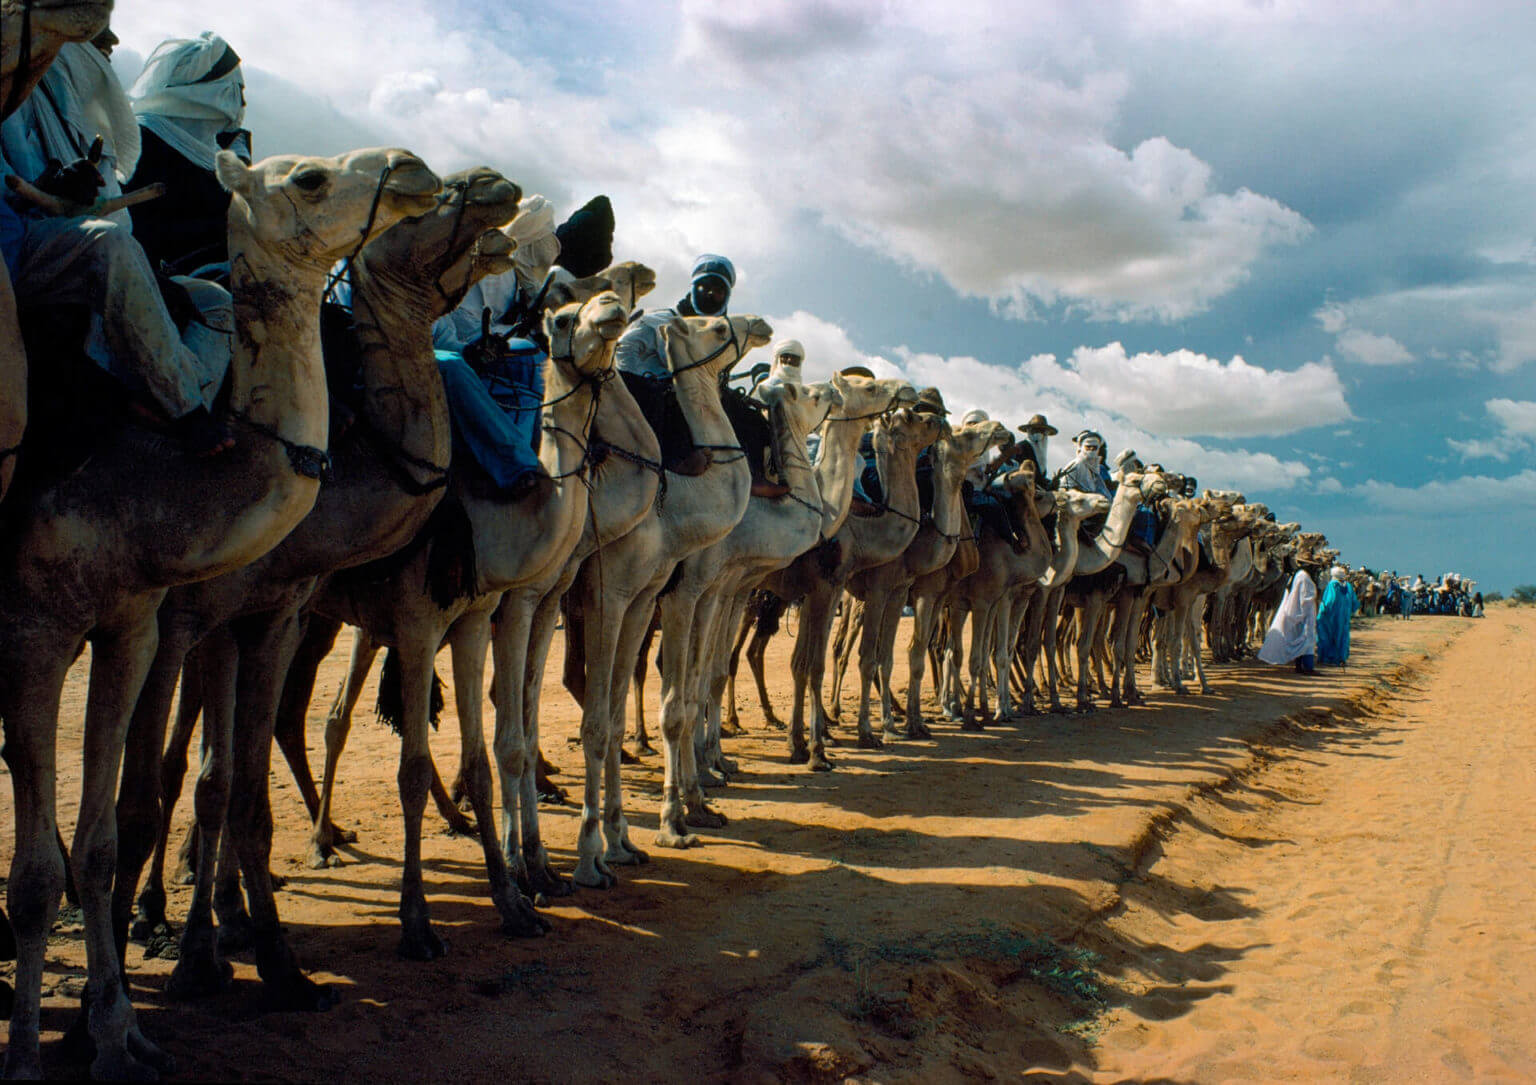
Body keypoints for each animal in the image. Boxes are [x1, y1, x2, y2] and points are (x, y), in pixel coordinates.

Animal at [1, 141, 445, 1075]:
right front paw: (40, 1048)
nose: (413, 167)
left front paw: (122, 1030)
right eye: (309, 177)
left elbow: (117, 834)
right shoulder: (45, 629)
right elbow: (58, 861)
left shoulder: (142, 622)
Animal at [106, 166, 528, 995]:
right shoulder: (215, 614)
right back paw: (164, 906)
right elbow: (213, 775)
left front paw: (512, 898)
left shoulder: (388, 611)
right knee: (193, 754)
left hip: (319, 621)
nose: (493, 185)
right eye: (427, 207)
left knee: (278, 726)